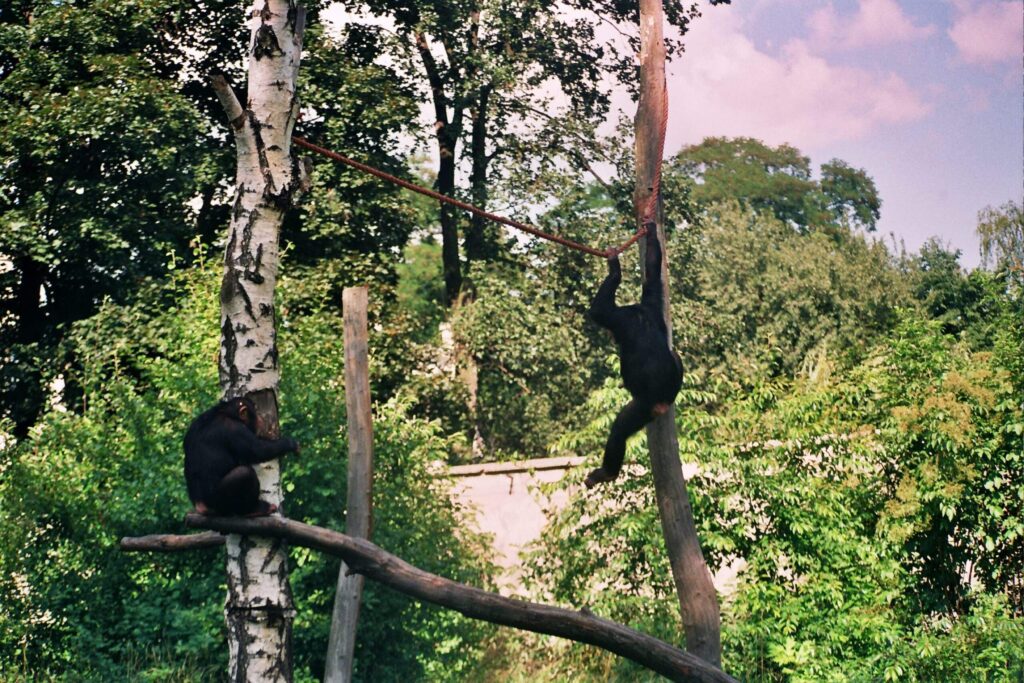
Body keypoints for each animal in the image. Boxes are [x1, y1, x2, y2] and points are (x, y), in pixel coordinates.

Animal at [589, 227, 684, 489]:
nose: (611, 336)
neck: (637, 313)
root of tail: (664, 402)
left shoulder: (614, 317)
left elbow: (598, 310)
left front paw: (614, 266)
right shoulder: (651, 301)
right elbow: (652, 270)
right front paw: (649, 228)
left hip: (644, 407)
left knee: (619, 429)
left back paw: (606, 473)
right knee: (676, 356)